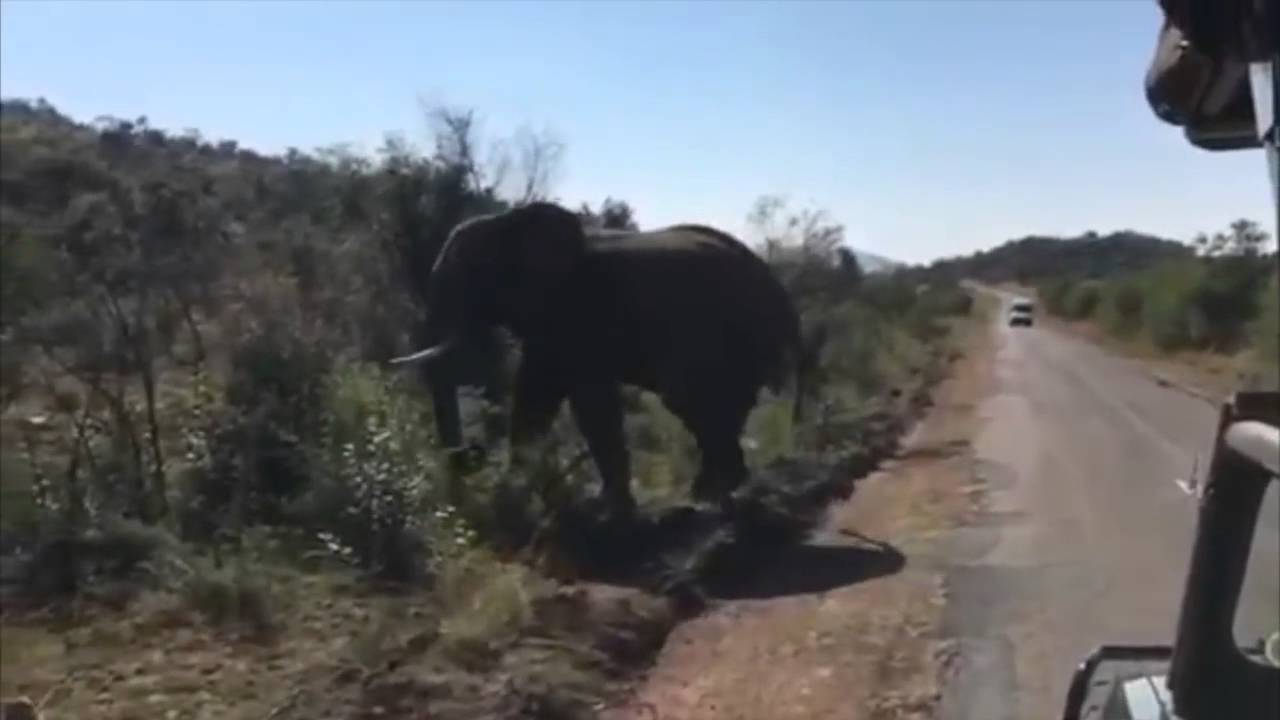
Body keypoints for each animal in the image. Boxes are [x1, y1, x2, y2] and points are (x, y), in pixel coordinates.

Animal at [393, 201, 808, 515]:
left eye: (472, 273)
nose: (474, 453)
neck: (507, 221)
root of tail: (778, 287)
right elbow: (534, 394)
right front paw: (512, 498)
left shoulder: (582, 306)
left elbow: (590, 402)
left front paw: (608, 510)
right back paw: (713, 490)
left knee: (693, 399)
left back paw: (708, 495)